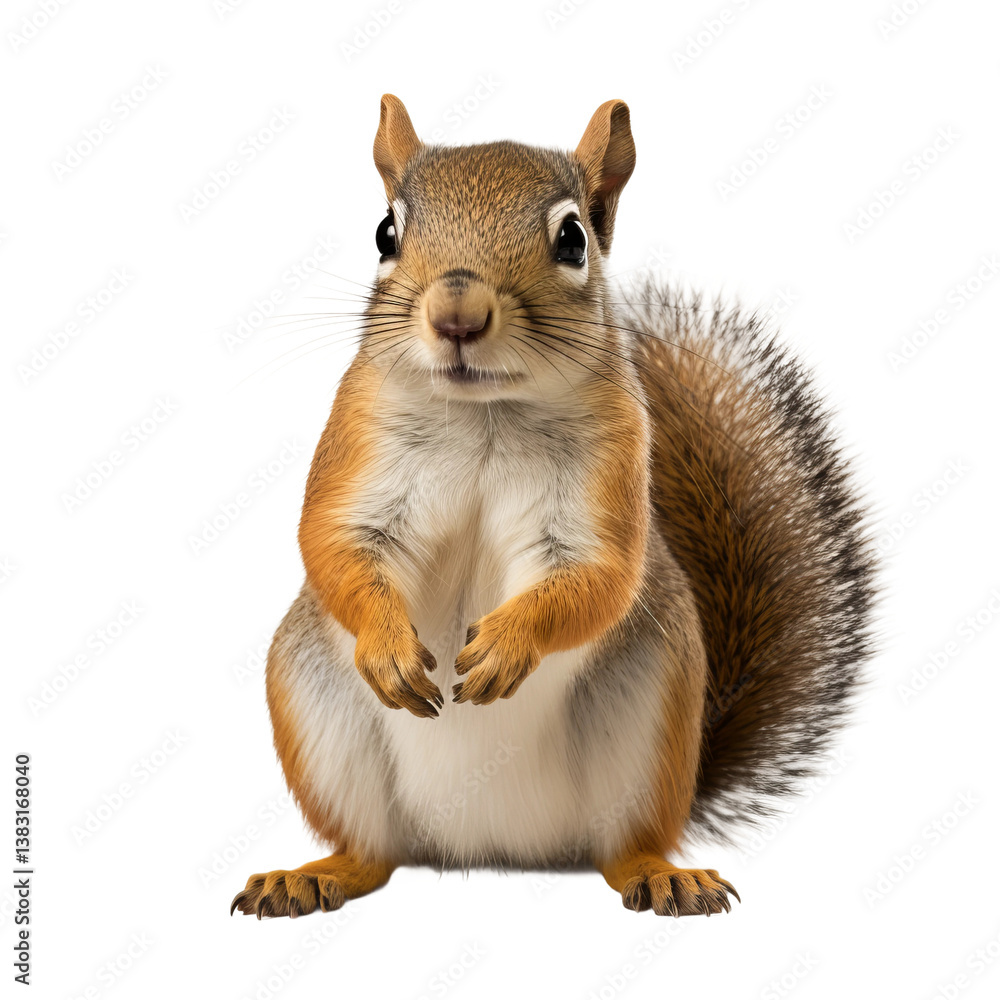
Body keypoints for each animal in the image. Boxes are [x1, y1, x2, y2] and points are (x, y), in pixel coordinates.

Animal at [231, 95, 876, 920]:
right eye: (385, 232)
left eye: (572, 239)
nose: (458, 314)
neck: (485, 416)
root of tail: (491, 847)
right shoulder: (357, 446)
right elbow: (335, 543)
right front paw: (387, 644)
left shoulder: (612, 472)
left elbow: (599, 577)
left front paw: (508, 644)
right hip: (318, 709)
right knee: (373, 851)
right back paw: (316, 874)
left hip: (648, 726)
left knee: (623, 845)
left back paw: (661, 873)